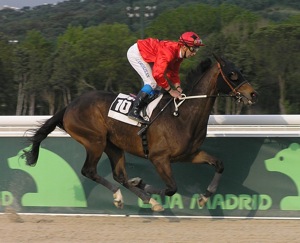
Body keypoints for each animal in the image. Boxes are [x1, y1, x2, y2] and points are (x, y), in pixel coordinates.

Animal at [23, 54, 258, 212]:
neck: (182, 115)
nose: (253, 94)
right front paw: (143, 184)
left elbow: (219, 164)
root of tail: (69, 106)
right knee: (89, 170)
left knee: (120, 175)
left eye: (240, 70)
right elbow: (171, 188)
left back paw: (146, 200)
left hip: (114, 146)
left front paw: (204, 197)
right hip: (94, 140)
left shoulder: (189, 154)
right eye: (232, 74)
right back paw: (122, 197)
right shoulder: (159, 158)